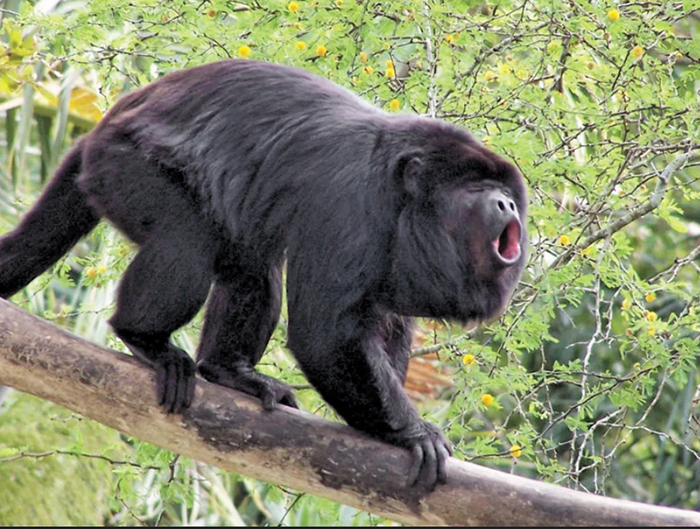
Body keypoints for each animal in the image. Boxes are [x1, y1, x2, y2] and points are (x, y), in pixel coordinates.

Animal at [0, 59, 524, 488]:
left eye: (506, 192)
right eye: (476, 188)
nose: (509, 204)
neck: (400, 193)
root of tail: (102, 127)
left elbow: (384, 319)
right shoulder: (350, 202)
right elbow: (323, 335)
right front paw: (411, 432)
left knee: (252, 265)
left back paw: (228, 370)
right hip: (125, 168)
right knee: (187, 240)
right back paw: (145, 338)